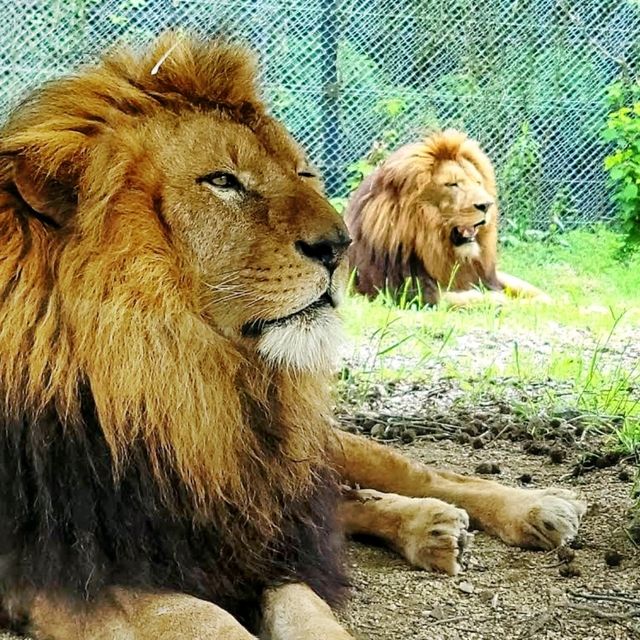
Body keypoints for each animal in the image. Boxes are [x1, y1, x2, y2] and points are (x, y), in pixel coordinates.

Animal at [344, 129, 552, 306]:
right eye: (452, 184)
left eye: (478, 182)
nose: (487, 205)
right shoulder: (404, 292)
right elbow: (466, 297)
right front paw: (500, 300)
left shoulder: (487, 276)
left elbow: (524, 288)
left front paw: (548, 301)